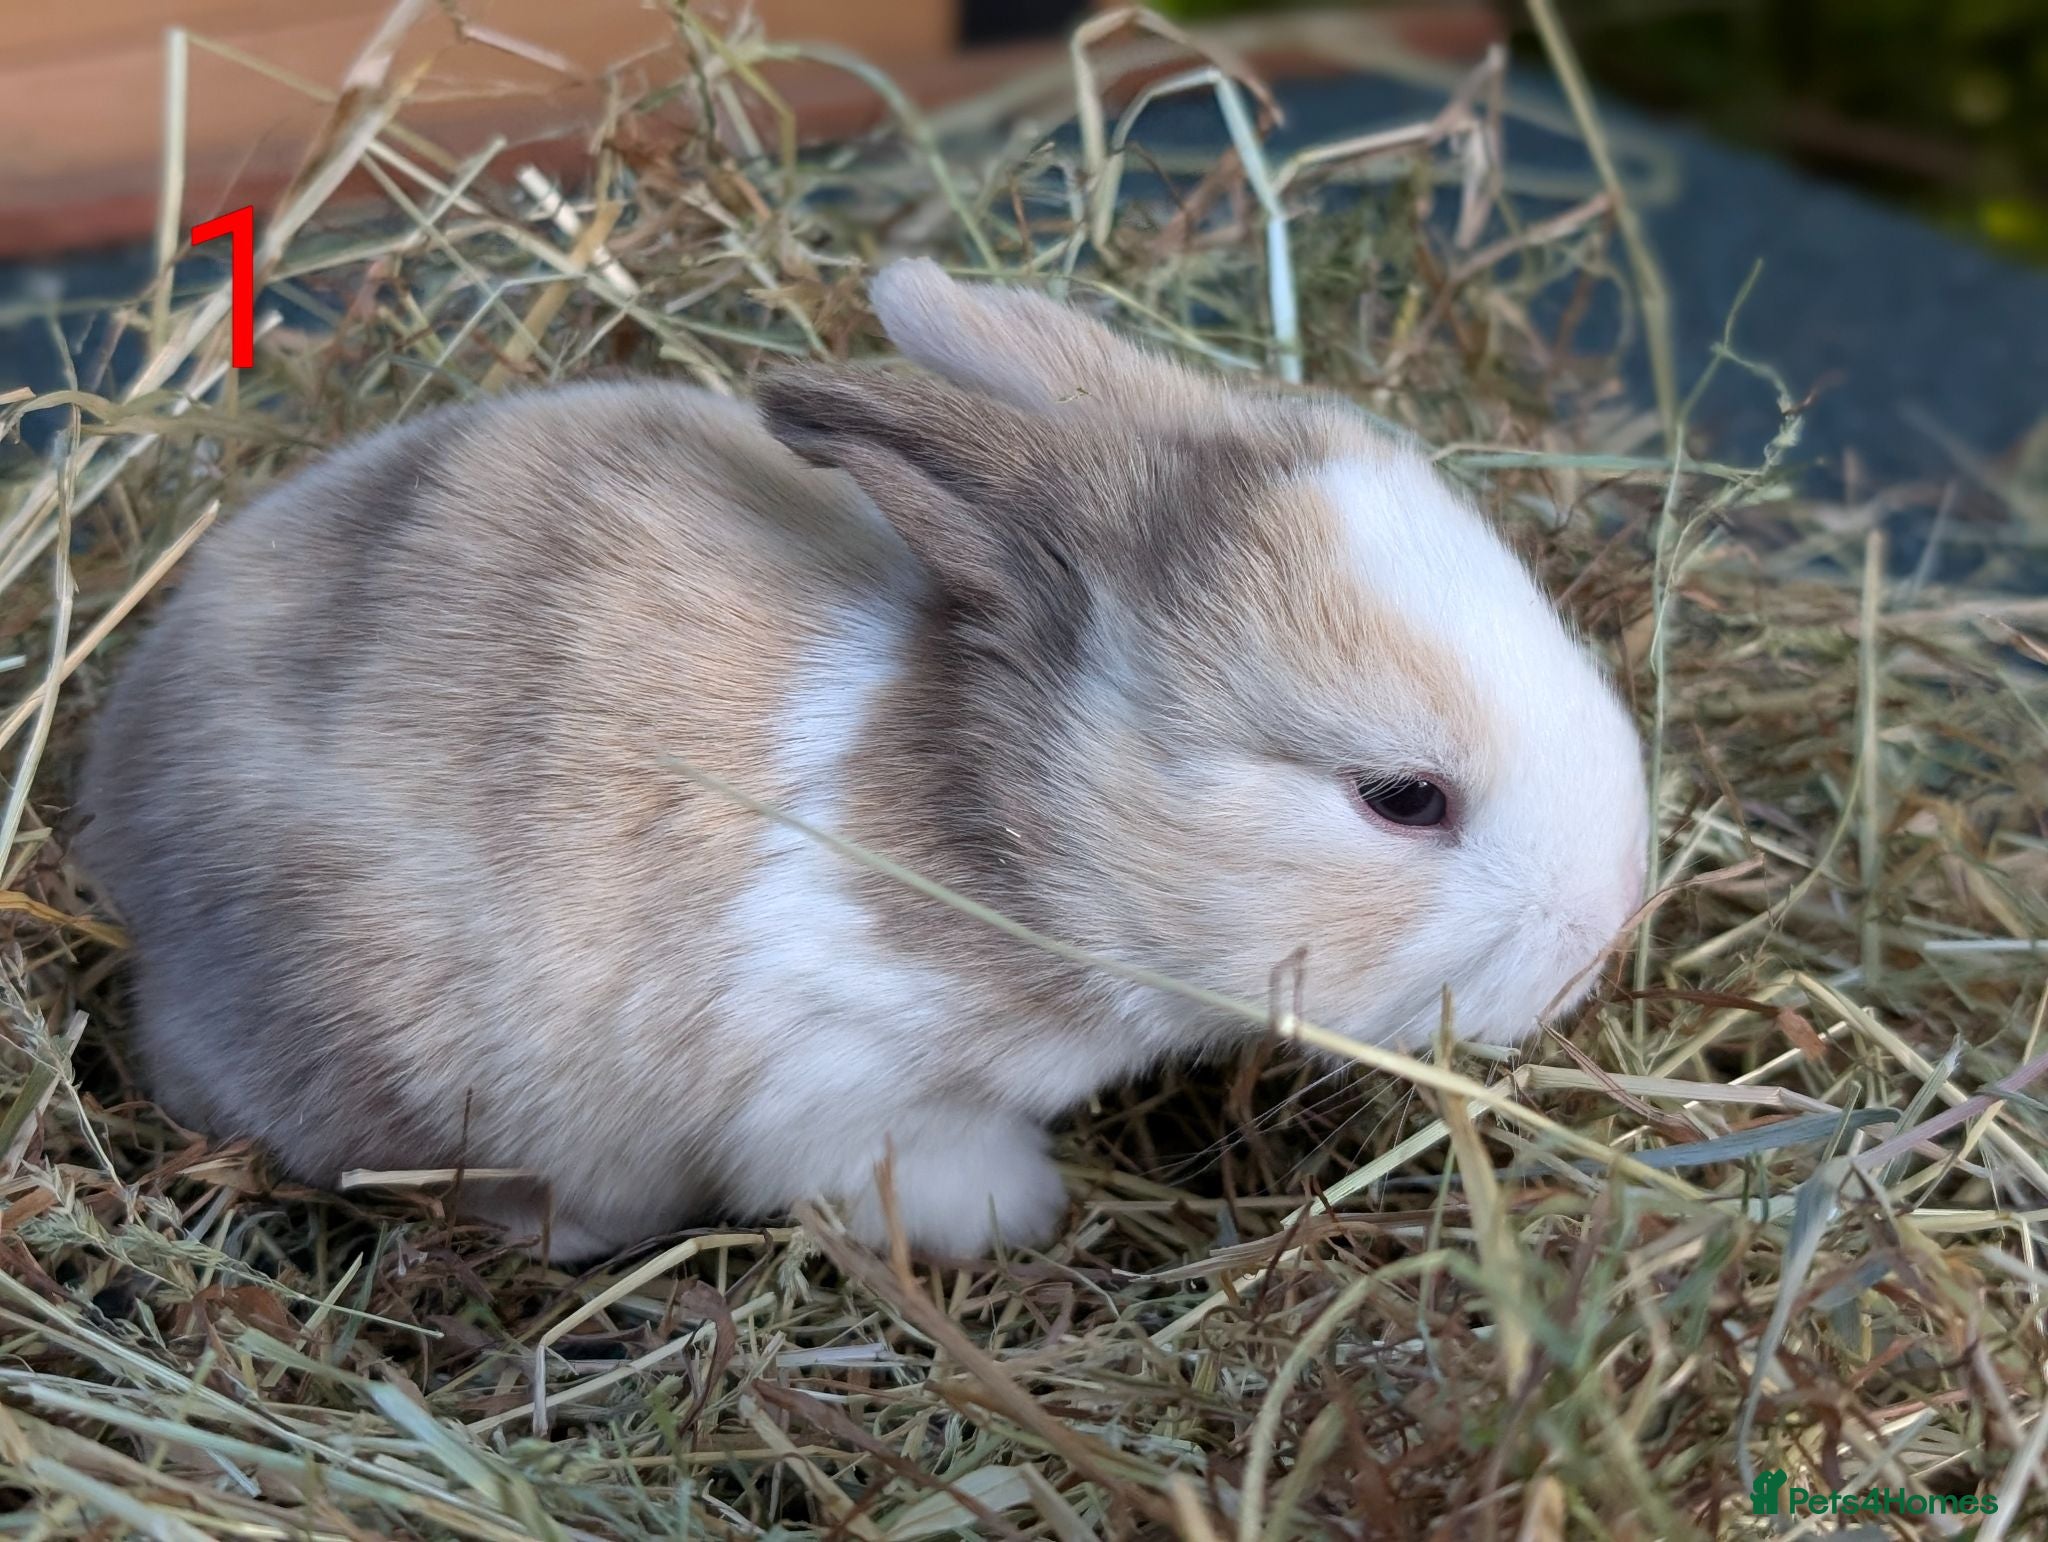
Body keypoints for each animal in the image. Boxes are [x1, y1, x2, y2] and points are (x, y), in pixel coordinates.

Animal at [75, 258, 1648, 1263]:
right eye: (1401, 798)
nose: (1605, 926)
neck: (1007, 823)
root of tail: (118, 809)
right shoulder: (853, 1090)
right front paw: (1027, 1217)